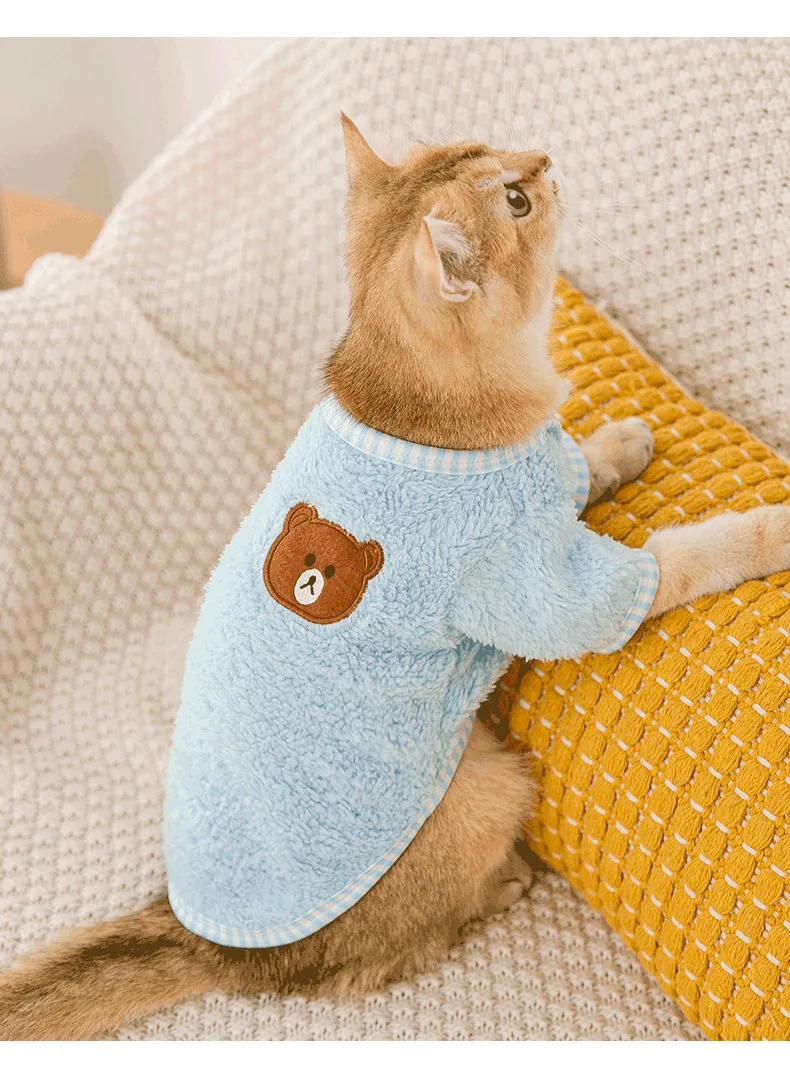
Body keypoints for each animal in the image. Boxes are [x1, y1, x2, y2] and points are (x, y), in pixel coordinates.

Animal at [1, 115, 789, 1040]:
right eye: (514, 201)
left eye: (489, 146)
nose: (544, 161)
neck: (408, 412)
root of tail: (221, 950)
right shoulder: (544, 587)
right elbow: (683, 556)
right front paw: (767, 528)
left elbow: (575, 470)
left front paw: (613, 446)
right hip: (487, 790)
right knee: (386, 956)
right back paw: (504, 883)